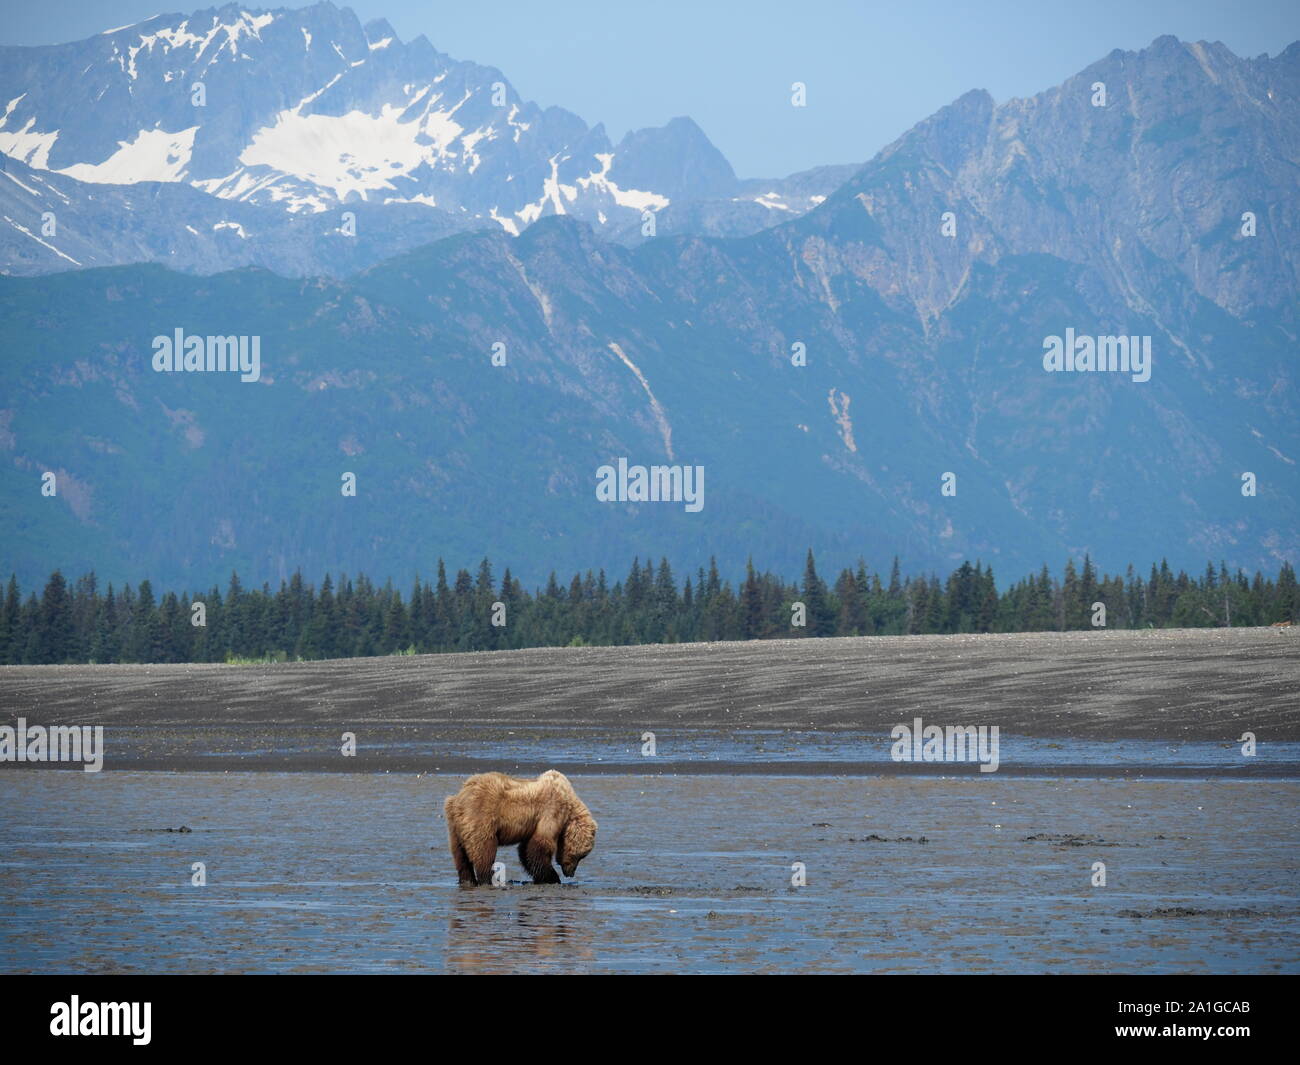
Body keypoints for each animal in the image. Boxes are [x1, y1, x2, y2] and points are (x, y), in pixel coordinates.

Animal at [441, 769, 595, 889]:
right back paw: (489, 880)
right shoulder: (552, 810)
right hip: (481, 816)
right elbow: (539, 846)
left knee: (460, 855)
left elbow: (526, 850)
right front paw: (552, 878)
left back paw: (467, 880)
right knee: (484, 850)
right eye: (580, 856)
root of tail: (459, 798)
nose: (571, 873)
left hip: (454, 827)